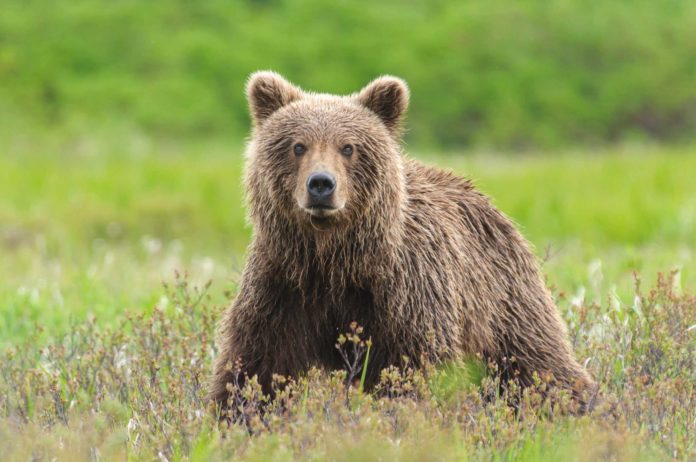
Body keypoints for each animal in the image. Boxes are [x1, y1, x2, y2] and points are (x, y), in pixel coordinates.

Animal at [209, 71, 596, 412]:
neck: (335, 260)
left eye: (348, 147)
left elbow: (417, 367)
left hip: (502, 298)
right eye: (298, 146)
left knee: (537, 361)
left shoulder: (406, 291)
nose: (321, 184)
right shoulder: (283, 285)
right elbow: (256, 366)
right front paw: (237, 415)